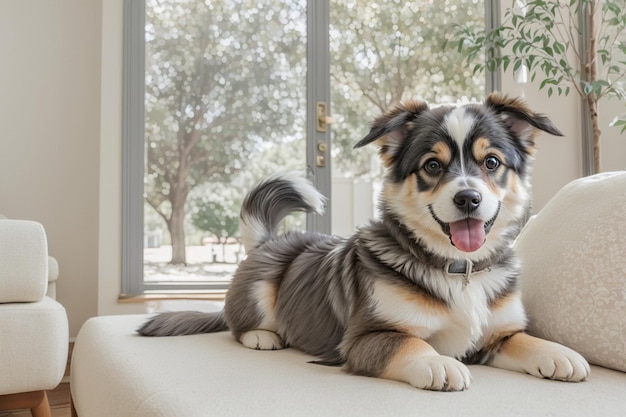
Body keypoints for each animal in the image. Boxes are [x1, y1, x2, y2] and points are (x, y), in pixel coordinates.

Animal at [138, 92, 588, 390]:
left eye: (492, 161)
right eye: (432, 165)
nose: (468, 198)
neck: (457, 269)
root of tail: (268, 243)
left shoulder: (495, 336)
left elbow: (525, 339)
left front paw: (559, 353)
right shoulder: (366, 338)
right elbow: (412, 345)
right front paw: (440, 364)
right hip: (260, 286)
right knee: (238, 325)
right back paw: (263, 336)